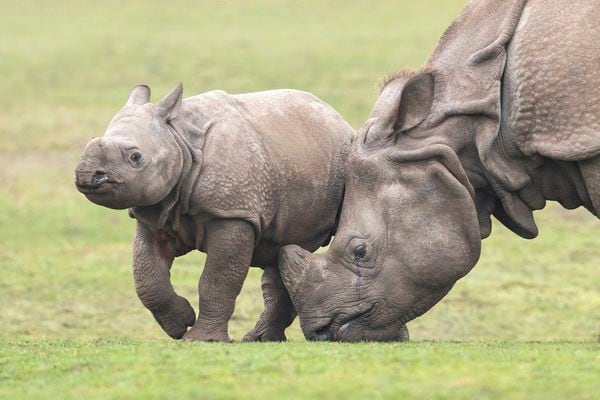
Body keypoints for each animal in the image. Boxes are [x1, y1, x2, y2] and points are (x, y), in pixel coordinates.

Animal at [77, 83, 354, 340]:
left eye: (135, 157)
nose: (86, 174)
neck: (178, 138)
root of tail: (336, 117)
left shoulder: (232, 213)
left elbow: (217, 279)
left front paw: (201, 339)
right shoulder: (154, 213)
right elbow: (147, 276)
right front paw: (179, 324)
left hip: (343, 157)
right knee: (281, 249)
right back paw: (259, 339)